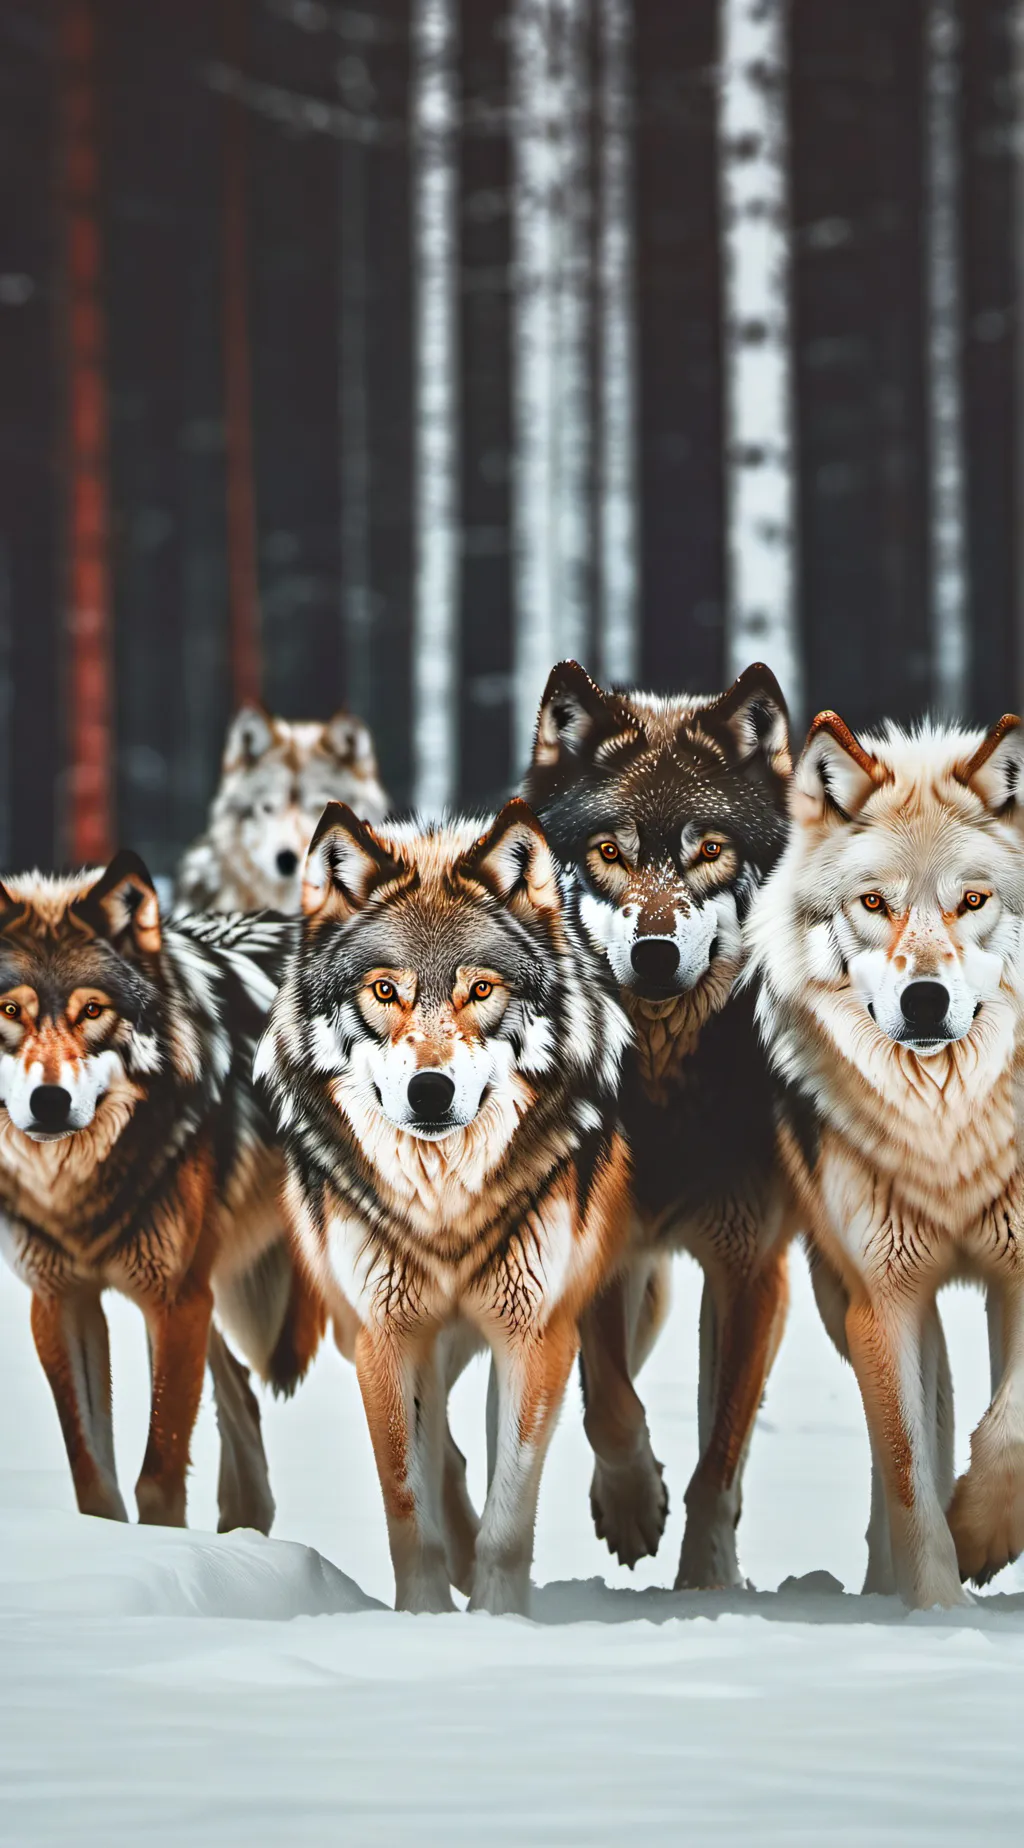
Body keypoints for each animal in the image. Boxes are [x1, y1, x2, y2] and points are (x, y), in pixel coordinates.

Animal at [0, 855, 317, 1532]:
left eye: (92, 1011)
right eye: (9, 1011)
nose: (48, 1103)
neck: (76, 1190)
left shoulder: (174, 1302)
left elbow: (159, 1476)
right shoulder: (61, 1301)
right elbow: (93, 1480)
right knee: (243, 1403)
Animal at [256, 797, 632, 1615]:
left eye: (480, 990)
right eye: (385, 991)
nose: (430, 1091)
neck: (445, 1211)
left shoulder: (535, 1335)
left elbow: (508, 1517)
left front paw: (496, 1620)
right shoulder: (387, 1338)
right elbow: (409, 1505)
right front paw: (425, 1619)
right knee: (450, 1459)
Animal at [523, 659, 793, 1589]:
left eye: (708, 850)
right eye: (610, 853)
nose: (652, 952)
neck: (667, 1087)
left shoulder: (753, 1272)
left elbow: (723, 1454)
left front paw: (707, 1579)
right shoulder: (603, 1254)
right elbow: (607, 1401)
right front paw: (635, 1504)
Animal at [747, 709, 1024, 1609]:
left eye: (972, 900)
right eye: (874, 903)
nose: (926, 1001)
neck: (947, 1130)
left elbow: (1008, 1429)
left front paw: (983, 1536)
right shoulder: (884, 1297)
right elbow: (905, 1469)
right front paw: (936, 1611)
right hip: (852, 1298)